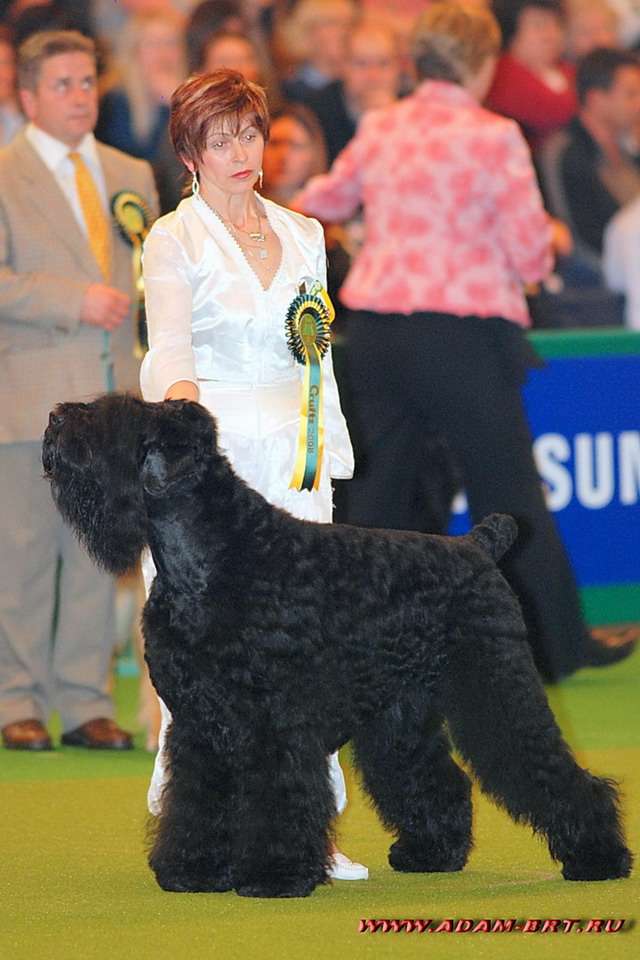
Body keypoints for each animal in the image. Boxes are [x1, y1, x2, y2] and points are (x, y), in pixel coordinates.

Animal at [42, 394, 632, 898]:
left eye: (117, 420)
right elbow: (196, 798)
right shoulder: (198, 723)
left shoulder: (272, 723)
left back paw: (598, 858)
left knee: (550, 768)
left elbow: (276, 796)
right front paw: (194, 869)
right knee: (435, 777)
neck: (215, 554)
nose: (54, 420)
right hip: (402, 714)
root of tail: (477, 544)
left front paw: (274, 875)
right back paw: (430, 853)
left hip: (497, 688)